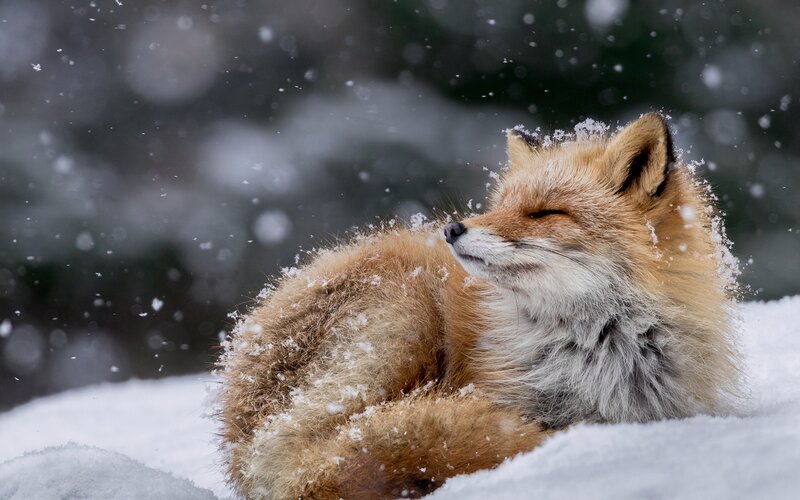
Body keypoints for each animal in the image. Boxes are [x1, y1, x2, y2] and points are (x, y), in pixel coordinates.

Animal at [216, 113, 740, 499]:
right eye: (499, 204)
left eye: (545, 213)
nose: (452, 228)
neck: (598, 352)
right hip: (405, 314)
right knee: (325, 462)